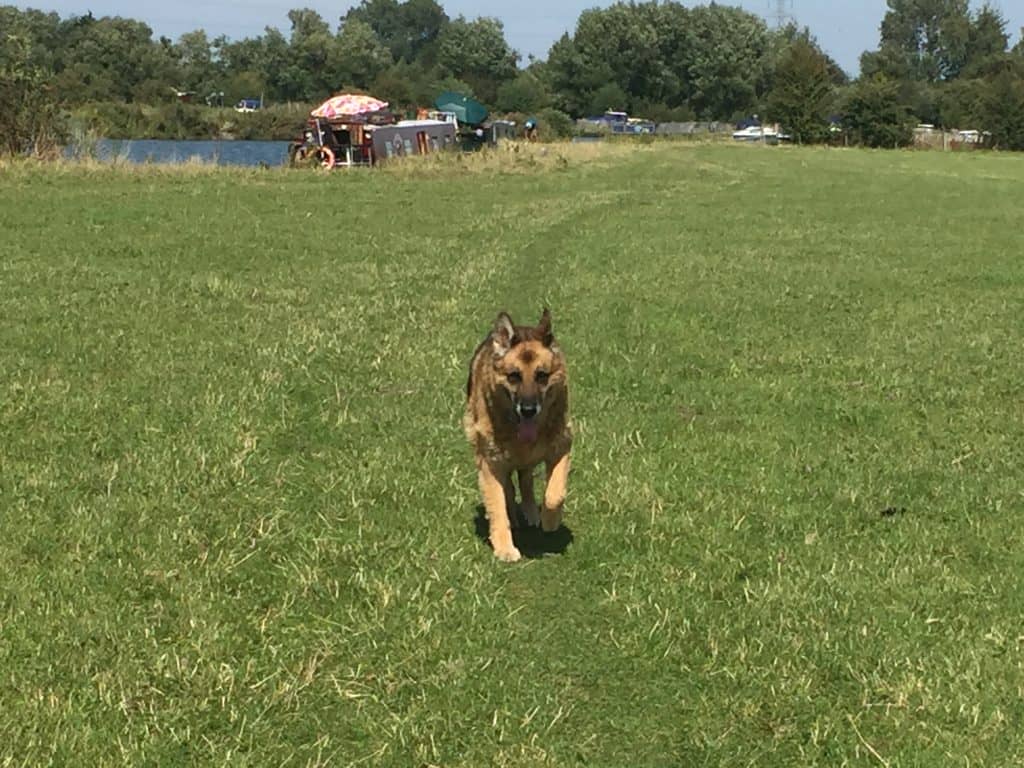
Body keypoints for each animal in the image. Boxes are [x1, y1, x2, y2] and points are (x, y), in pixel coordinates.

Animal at [462, 309, 569, 561]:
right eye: (514, 376)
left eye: (542, 375)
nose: (528, 410)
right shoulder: (490, 464)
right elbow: (498, 504)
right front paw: (504, 548)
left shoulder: (562, 446)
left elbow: (554, 493)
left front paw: (550, 520)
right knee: (510, 490)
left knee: (526, 480)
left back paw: (531, 512)